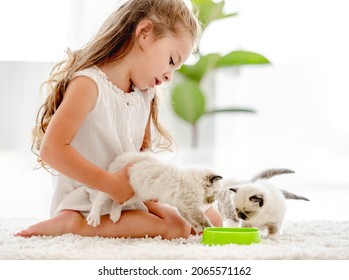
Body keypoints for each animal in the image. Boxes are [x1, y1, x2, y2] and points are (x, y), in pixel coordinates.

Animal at [87, 152, 223, 233]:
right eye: (215, 193)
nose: (213, 201)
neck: (195, 182)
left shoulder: (183, 207)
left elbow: (189, 220)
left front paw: (197, 228)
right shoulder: (191, 206)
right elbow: (202, 219)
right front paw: (210, 228)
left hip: (136, 195)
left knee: (117, 201)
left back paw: (114, 216)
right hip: (124, 187)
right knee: (100, 197)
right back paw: (94, 218)